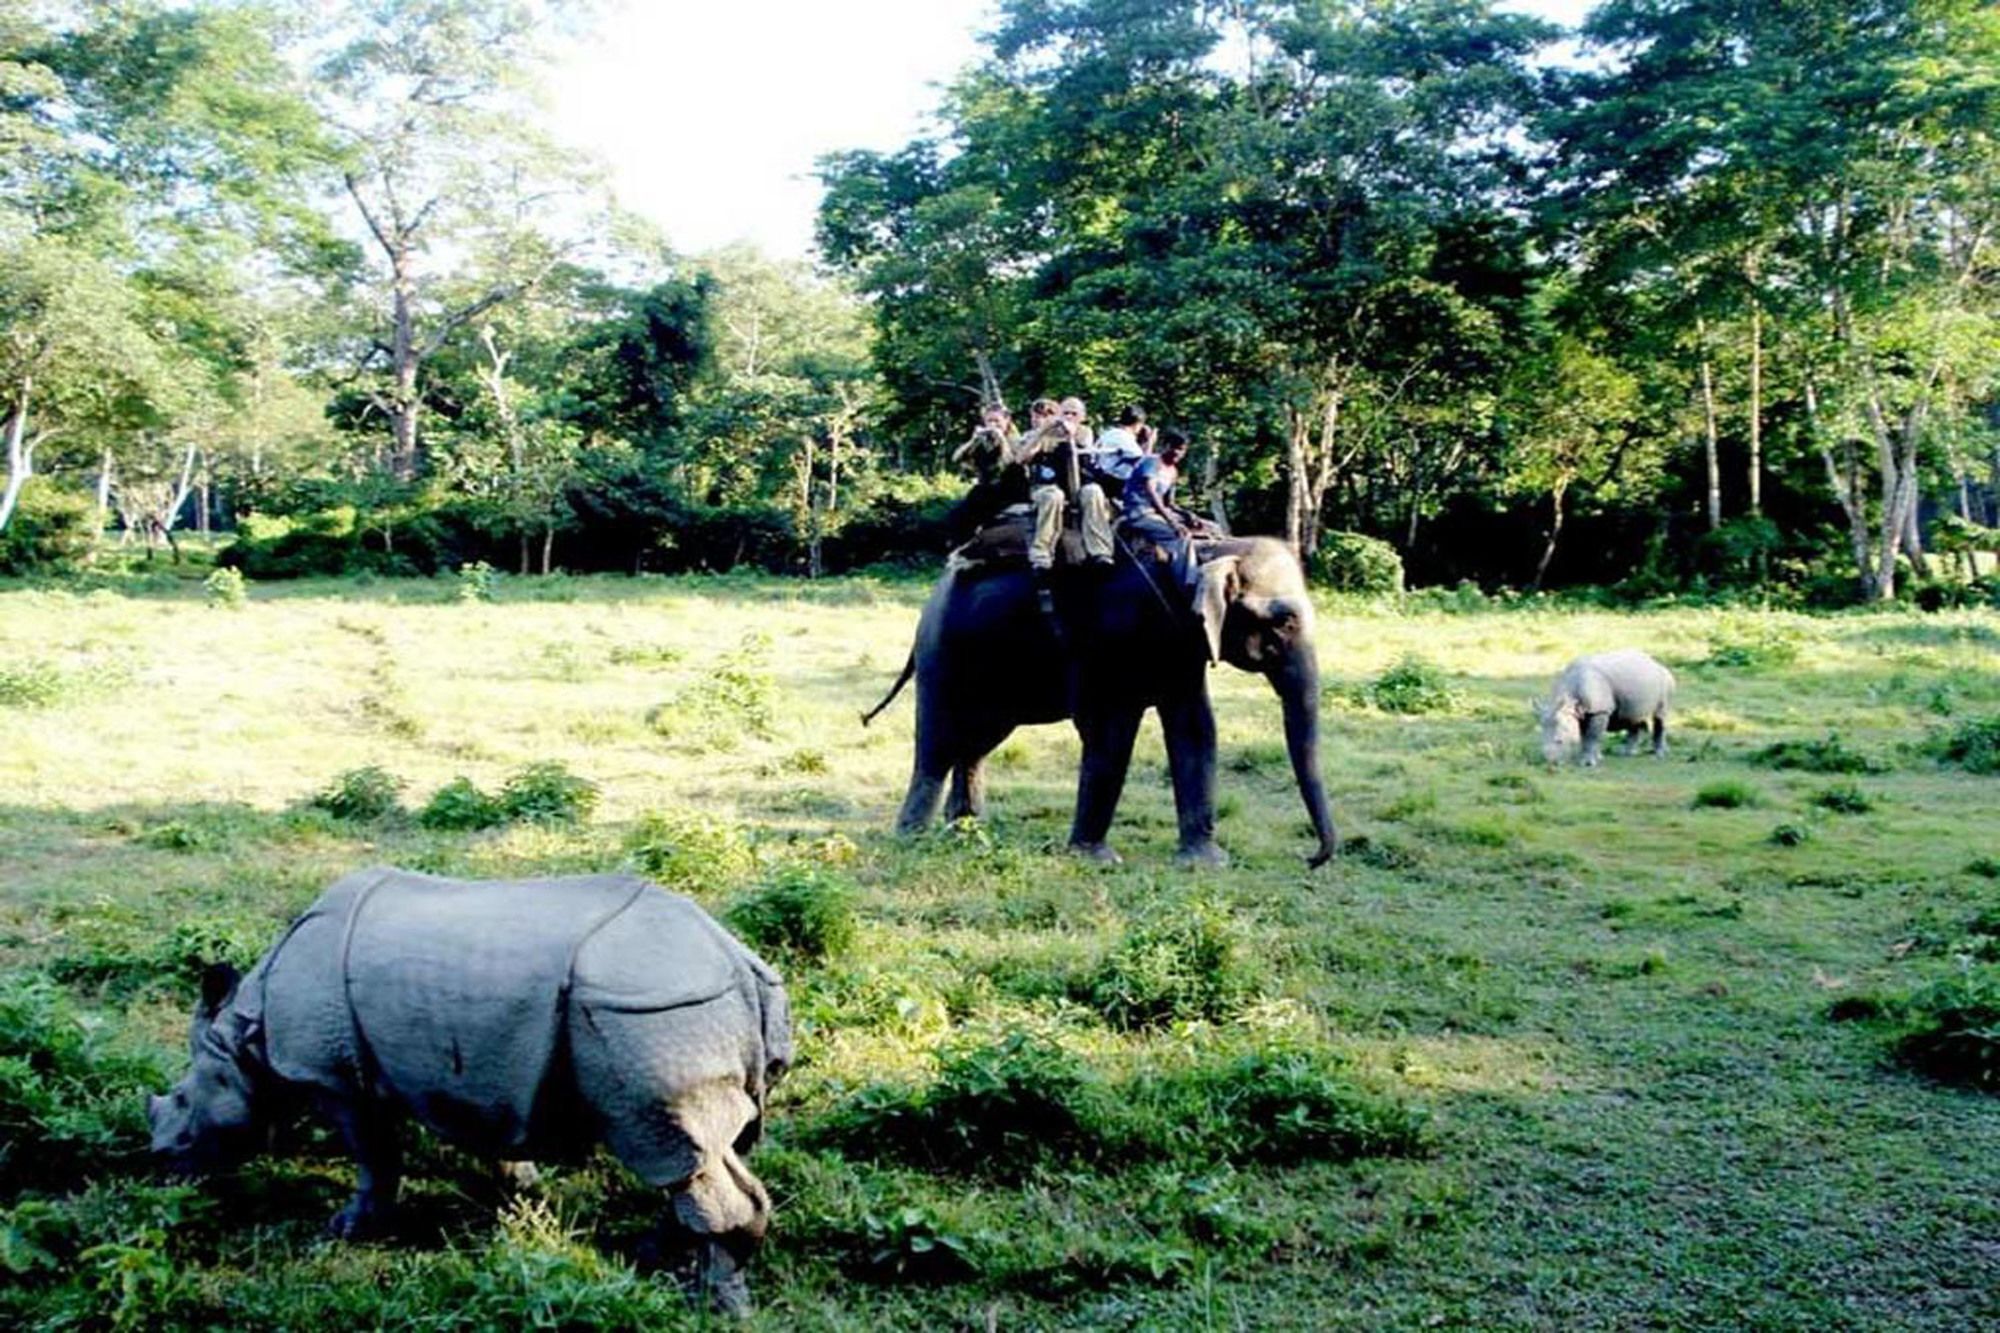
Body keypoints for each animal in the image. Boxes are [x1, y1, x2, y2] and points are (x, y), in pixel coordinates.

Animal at [150, 860, 788, 1304]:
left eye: (180, 1100)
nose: (160, 1162)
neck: (246, 1032)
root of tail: (738, 961)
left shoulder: (334, 1078)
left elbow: (373, 1155)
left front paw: (348, 1229)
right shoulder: (485, 1071)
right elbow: (495, 1133)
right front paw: (519, 1197)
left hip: (655, 1011)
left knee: (669, 1145)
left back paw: (712, 1301)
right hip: (677, 1010)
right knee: (704, 1152)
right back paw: (658, 1260)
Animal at [868, 536, 1336, 868]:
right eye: (1285, 621)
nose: (1311, 859)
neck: (1204, 550)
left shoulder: (1182, 645)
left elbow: (1196, 727)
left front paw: (1205, 864)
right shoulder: (1116, 636)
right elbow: (1112, 730)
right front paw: (1097, 860)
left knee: (976, 743)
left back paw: (967, 832)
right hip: (943, 655)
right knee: (939, 742)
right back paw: (913, 838)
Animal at [1536, 648, 1680, 764]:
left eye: (1560, 741)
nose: (1551, 762)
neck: (1570, 701)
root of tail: (1657, 663)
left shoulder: (1599, 710)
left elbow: (1592, 736)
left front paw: (1588, 763)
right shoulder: (1583, 711)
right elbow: (1585, 736)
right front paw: (1596, 758)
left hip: (1665, 680)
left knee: (1660, 716)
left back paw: (1659, 755)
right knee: (1633, 717)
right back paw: (1627, 753)